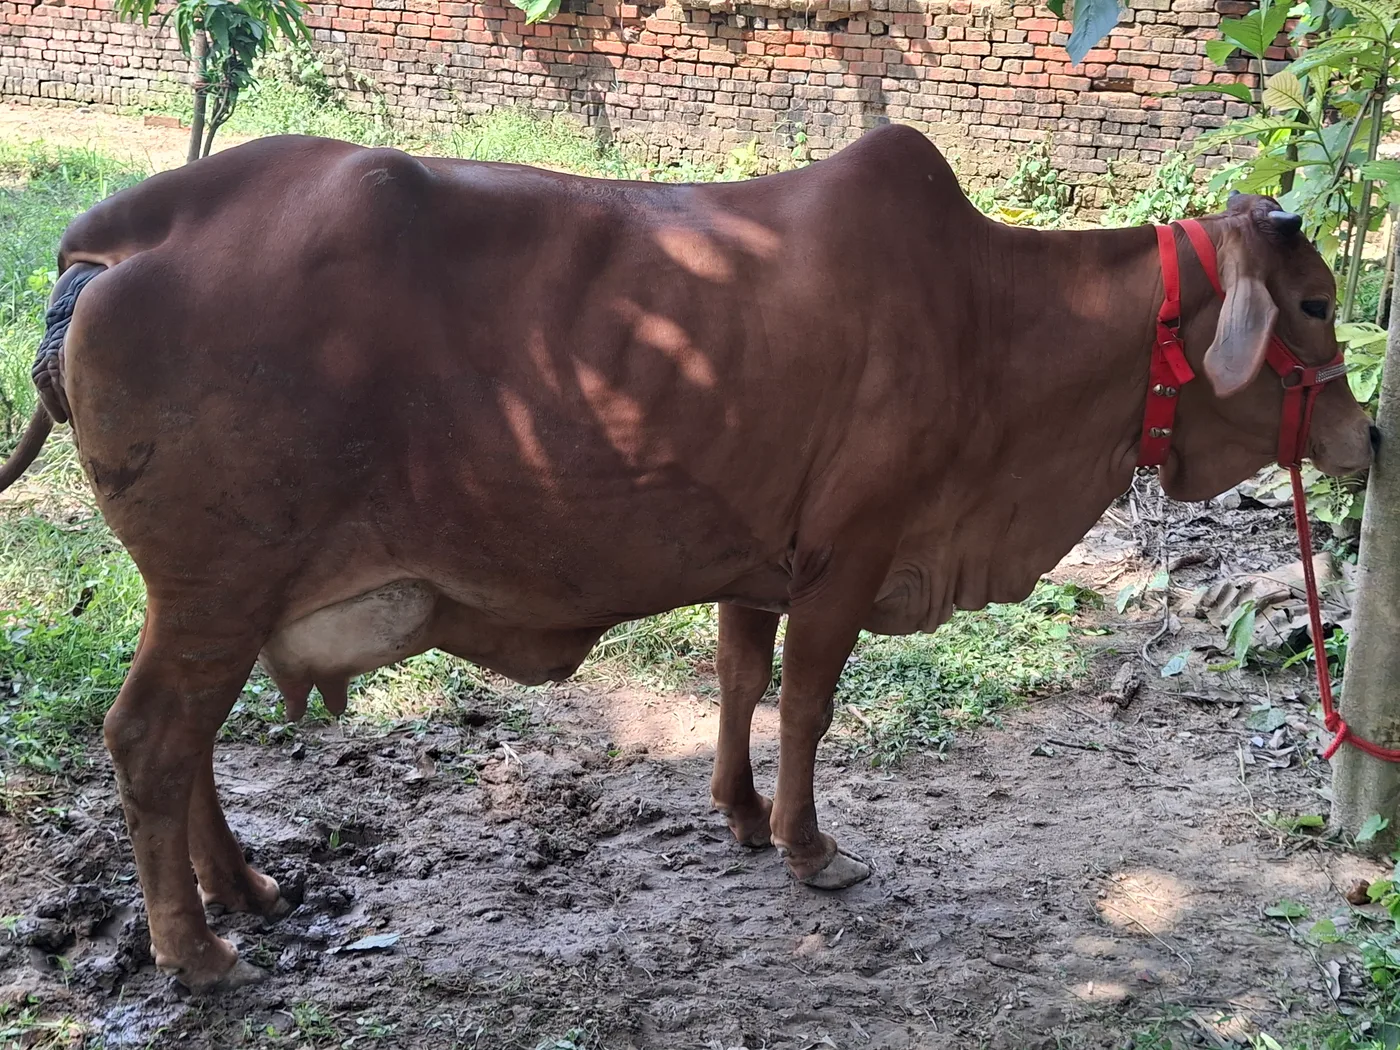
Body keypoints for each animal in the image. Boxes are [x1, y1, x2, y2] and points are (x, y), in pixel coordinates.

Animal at [0, 123, 1374, 992]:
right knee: (150, 742)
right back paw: (197, 951)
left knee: (185, 749)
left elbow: (738, 680)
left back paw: (244, 890)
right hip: (219, 584)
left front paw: (740, 815)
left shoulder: (756, 561)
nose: (1369, 436)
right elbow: (808, 702)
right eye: (1311, 306)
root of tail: (118, 234)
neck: (995, 322)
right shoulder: (849, 551)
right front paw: (811, 848)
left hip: (211, 594)